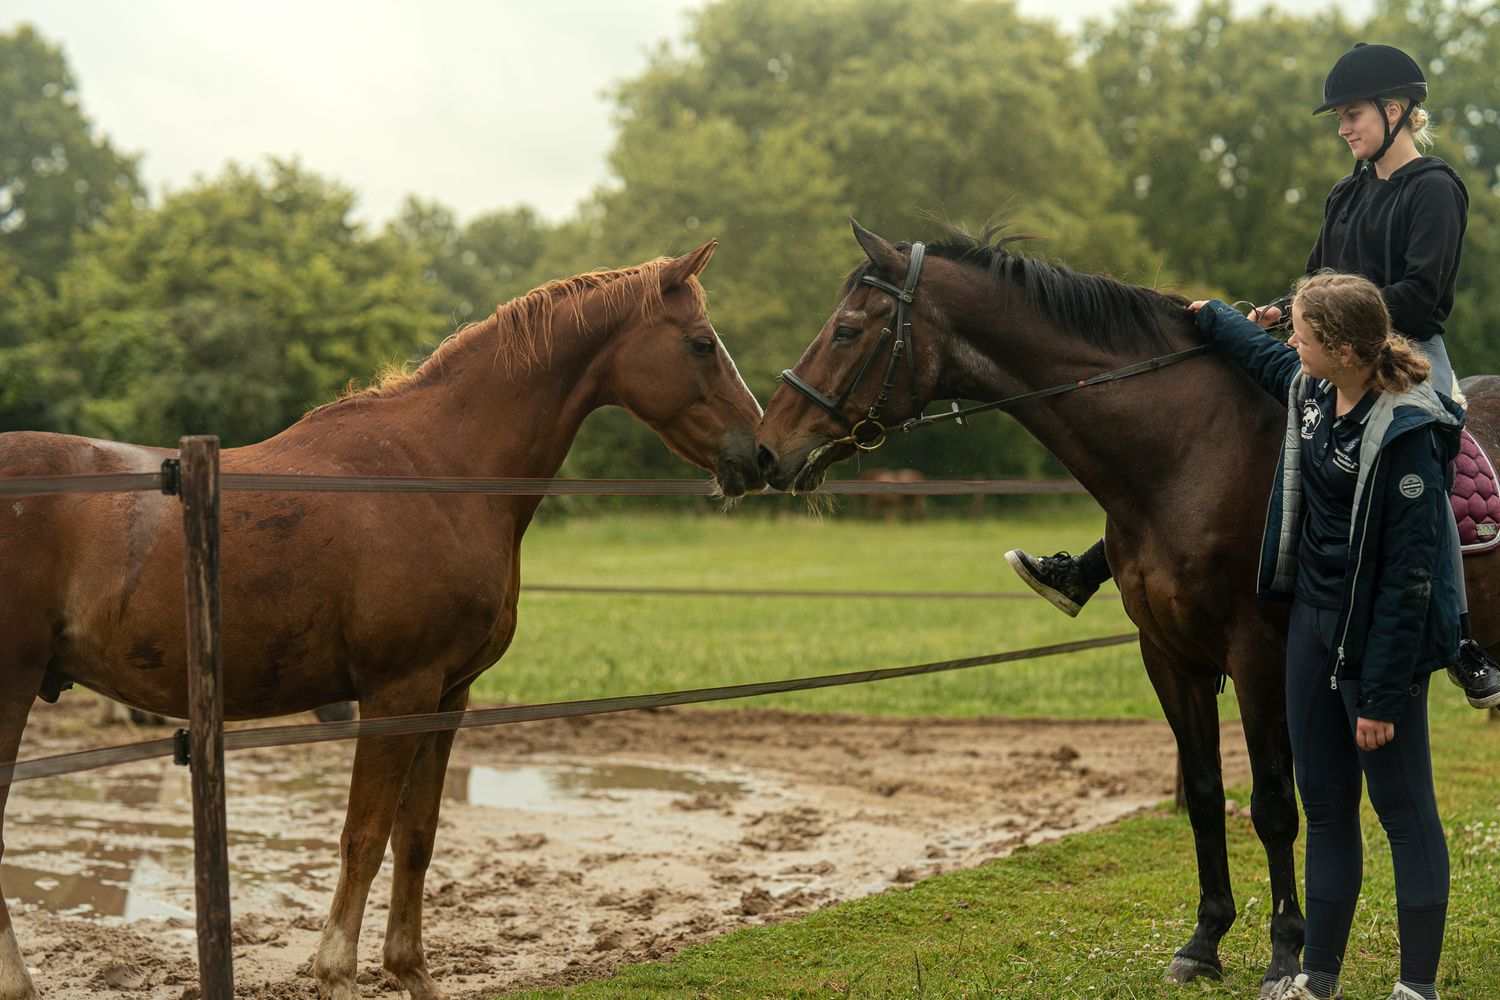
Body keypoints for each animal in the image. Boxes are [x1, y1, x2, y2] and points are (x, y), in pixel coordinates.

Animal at [0, 241, 764, 1000]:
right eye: (702, 343)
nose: (758, 455)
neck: (439, 472)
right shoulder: (399, 692)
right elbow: (363, 838)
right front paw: (337, 975)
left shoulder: (447, 696)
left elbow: (416, 835)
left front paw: (411, 971)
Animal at [754, 220, 1500, 994]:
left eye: (847, 330)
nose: (765, 450)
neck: (1187, 452)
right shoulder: (1168, 656)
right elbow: (1203, 792)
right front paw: (1204, 942)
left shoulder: (1261, 656)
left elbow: (1271, 803)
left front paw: (1285, 952)